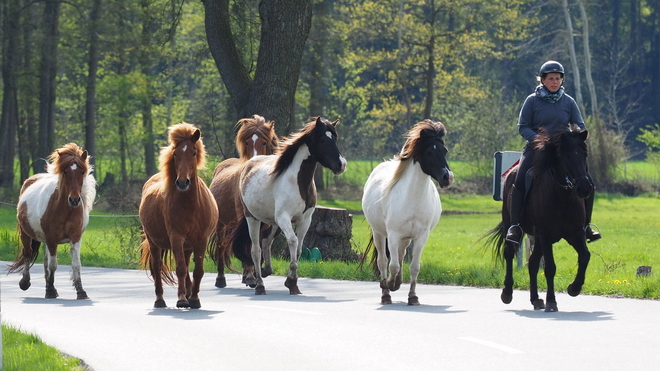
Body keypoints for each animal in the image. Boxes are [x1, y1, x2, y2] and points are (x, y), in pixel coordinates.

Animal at [9, 144, 96, 300]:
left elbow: (76, 264)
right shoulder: (51, 239)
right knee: (27, 254)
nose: (74, 200)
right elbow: (53, 265)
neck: (64, 209)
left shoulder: (75, 238)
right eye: (66, 172)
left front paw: (80, 291)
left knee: (44, 261)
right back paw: (26, 282)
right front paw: (50, 290)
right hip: (26, 234)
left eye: (82, 172)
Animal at [139, 123, 219, 310]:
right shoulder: (176, 237)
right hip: (155, 243)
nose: (182, 182)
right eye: (175, 153)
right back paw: (160, 300)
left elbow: (197, 270)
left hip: (187, 246)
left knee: (187, 265)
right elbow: (181, 269)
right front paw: (182, 299)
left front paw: (194, 299)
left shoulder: (201, 240)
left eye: (194, 153)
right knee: (156, 267)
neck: (191, 206)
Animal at [209, 115, 276, 290]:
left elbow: (255, 245)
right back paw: (221, 279)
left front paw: (253, 275)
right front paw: (252, 277)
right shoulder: (247, 219)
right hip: (221, 225)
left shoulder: (261, 223)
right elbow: (249, 245)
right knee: (221, 247)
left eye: (264, 142)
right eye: (247, 142)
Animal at [227, 117, 348, 296]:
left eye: (335, 138)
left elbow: (298, 249)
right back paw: (259, 285)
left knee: (266, 242)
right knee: (255, 250)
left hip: (272, 223)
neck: (298, 183)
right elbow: (293, 241)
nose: (341, 165)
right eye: (322, 140)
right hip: (253, 219)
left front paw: (293, 283)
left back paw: (266, 271)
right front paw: (291, 282)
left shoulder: (305, 221)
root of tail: (249, 164)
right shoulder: (284, 219)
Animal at [484, 128, 592, 314]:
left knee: (533, 263)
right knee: (509, 252)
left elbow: (585, 256)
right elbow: (550, 267)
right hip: (512, 226)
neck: (561, 195)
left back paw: (535, 299)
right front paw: (552, 301)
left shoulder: (575, 233)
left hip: (539, 239)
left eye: (584, 154)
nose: (584, 188)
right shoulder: (546, 234)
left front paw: (574, 288)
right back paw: (507, 293)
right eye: (566, 156)